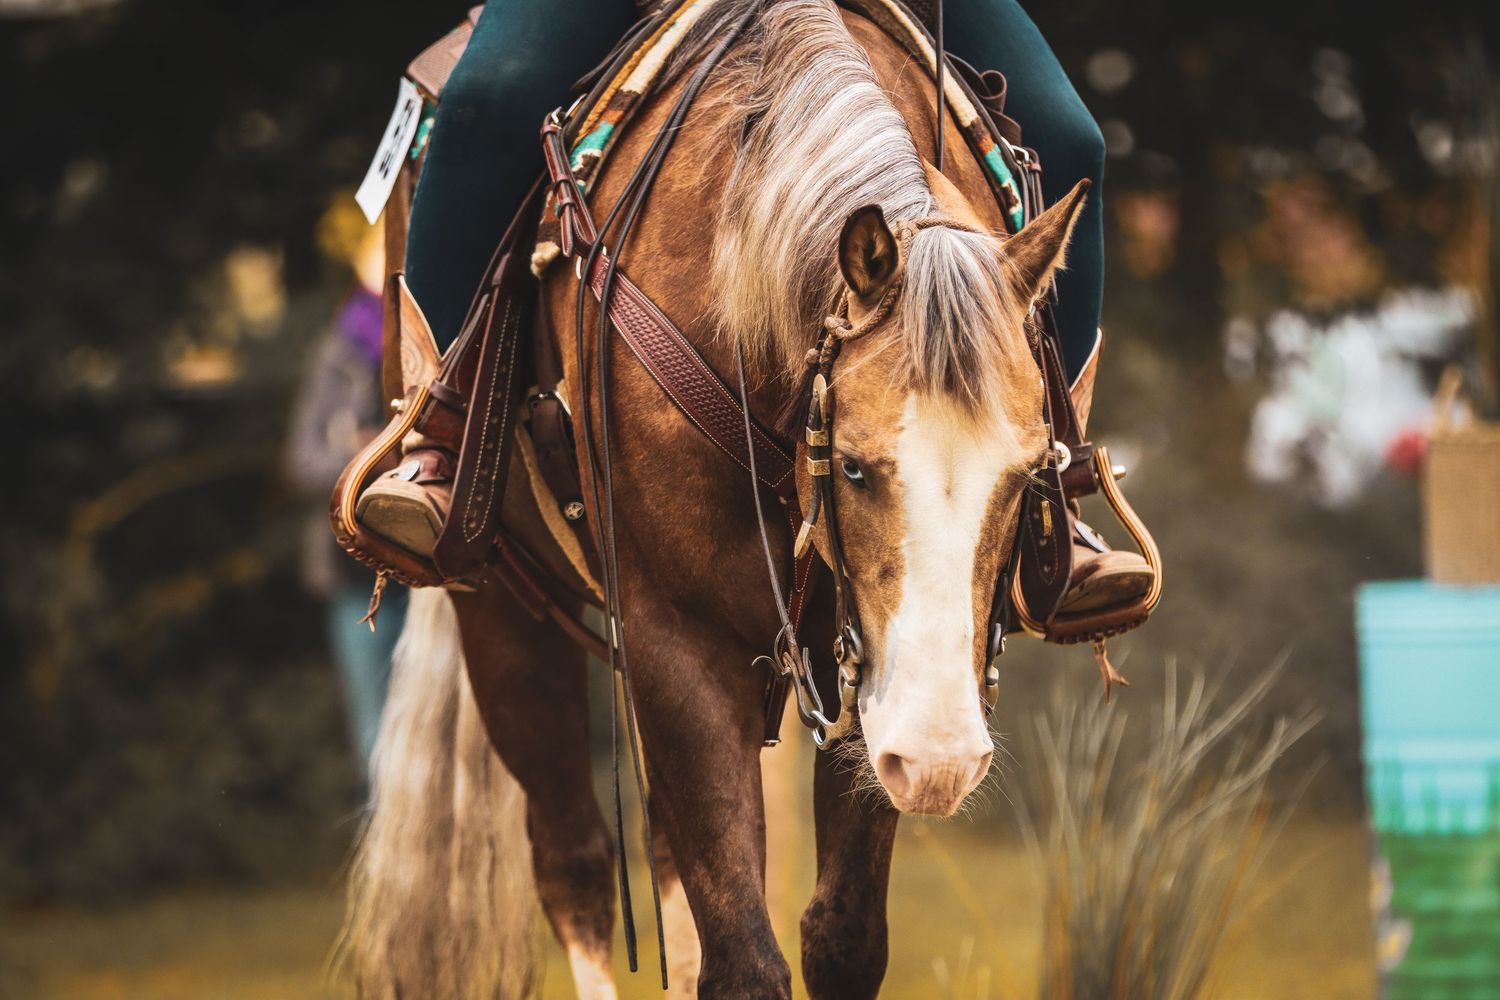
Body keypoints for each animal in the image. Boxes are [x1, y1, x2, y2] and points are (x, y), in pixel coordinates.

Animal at [344, 1, 1088, 996]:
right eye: (854, 468)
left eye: (1027, 473)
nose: (939, 758)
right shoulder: (676, 634)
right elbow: (742, 958)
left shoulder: (859, 654)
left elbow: (840, 940)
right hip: (499, 607)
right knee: (575, 863)